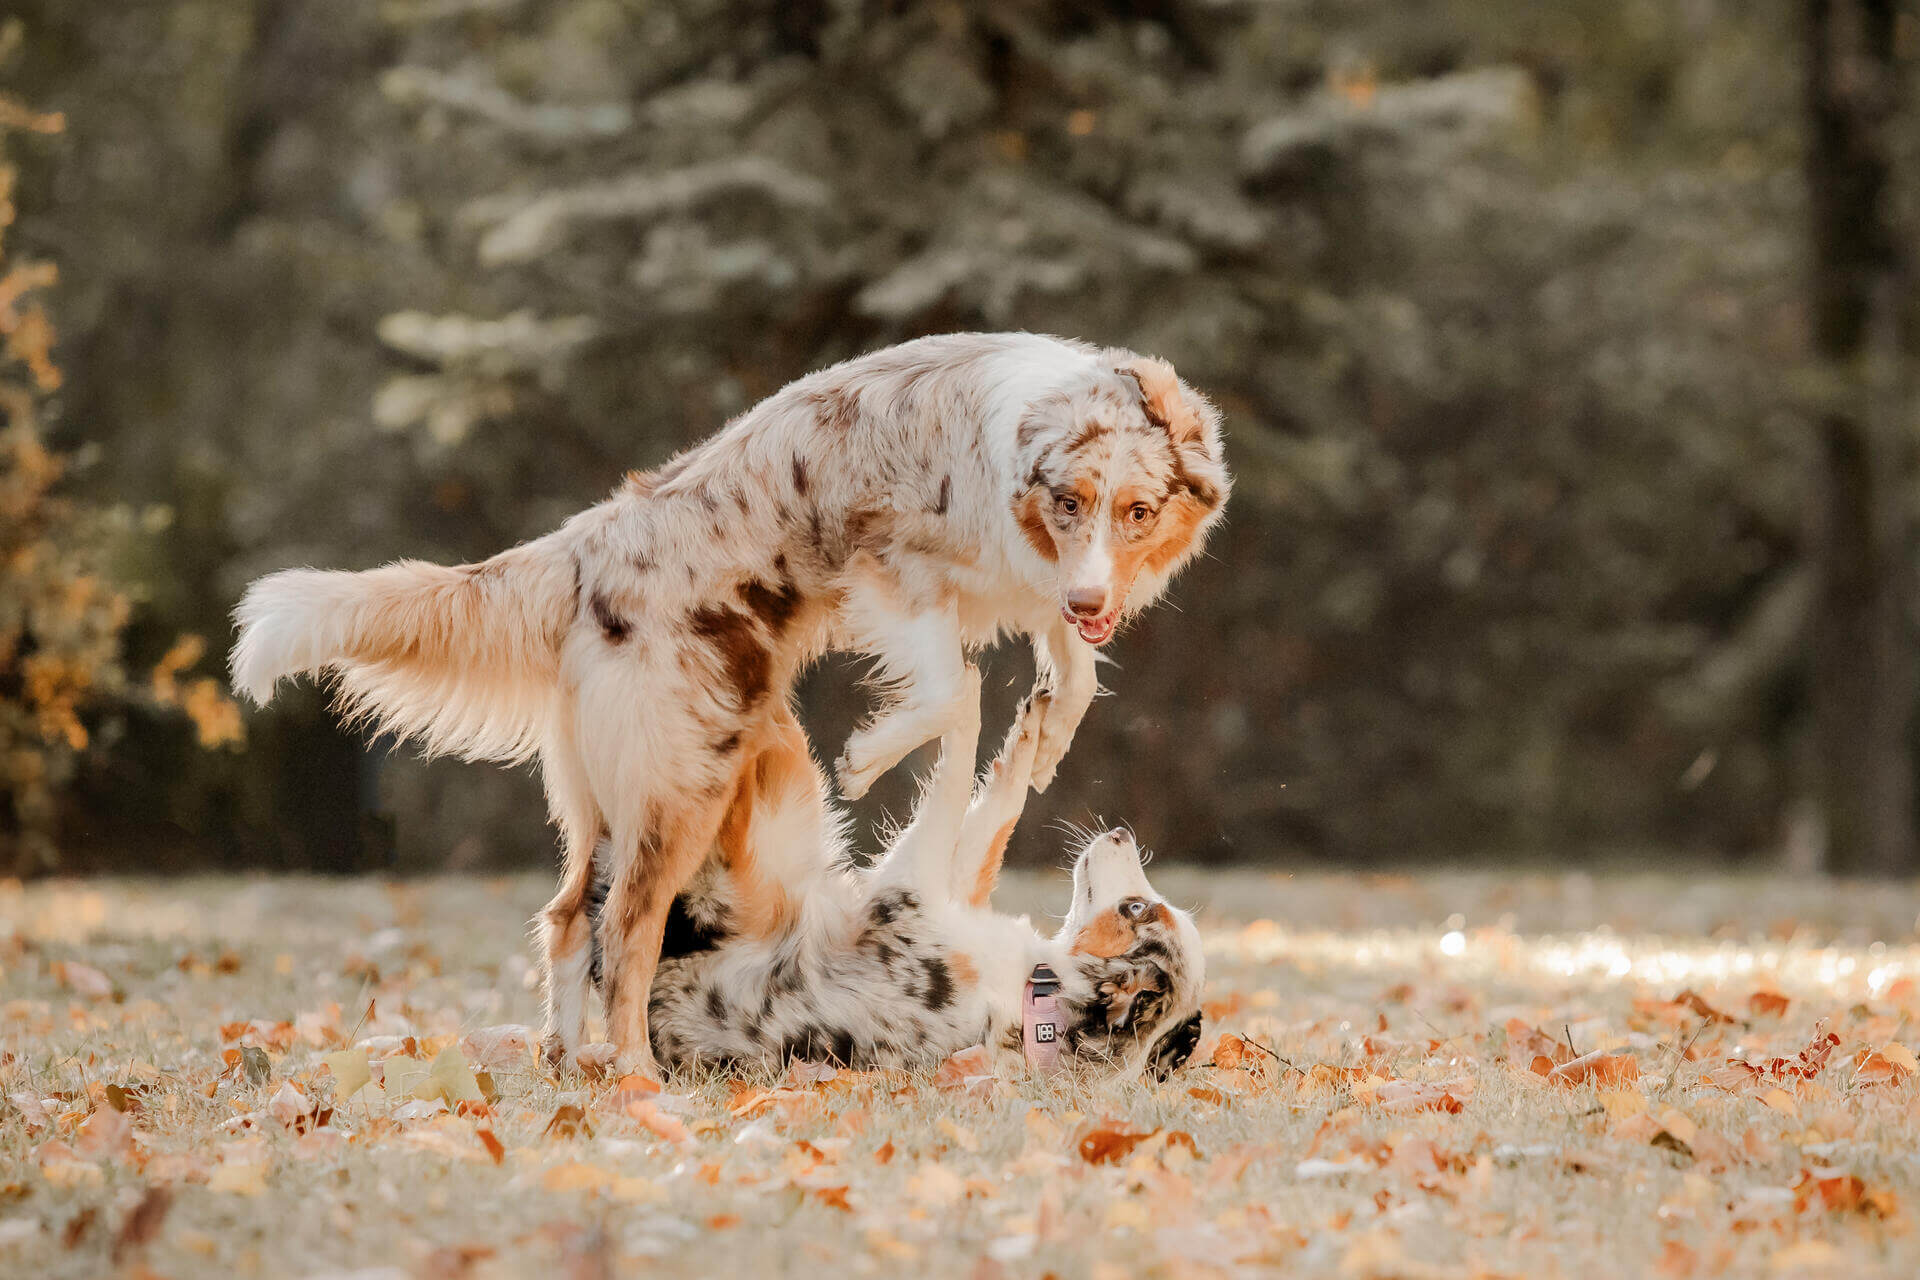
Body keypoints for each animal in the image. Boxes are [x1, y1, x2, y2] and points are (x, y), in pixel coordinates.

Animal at [606, 675, 1205, 1074]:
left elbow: (958, 756)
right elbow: (997, 807)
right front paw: (1032, 729)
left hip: (782, 811)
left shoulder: (908, 881)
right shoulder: (951, 887)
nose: (1122, 833)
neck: (1042, 998)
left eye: (1135, 910)